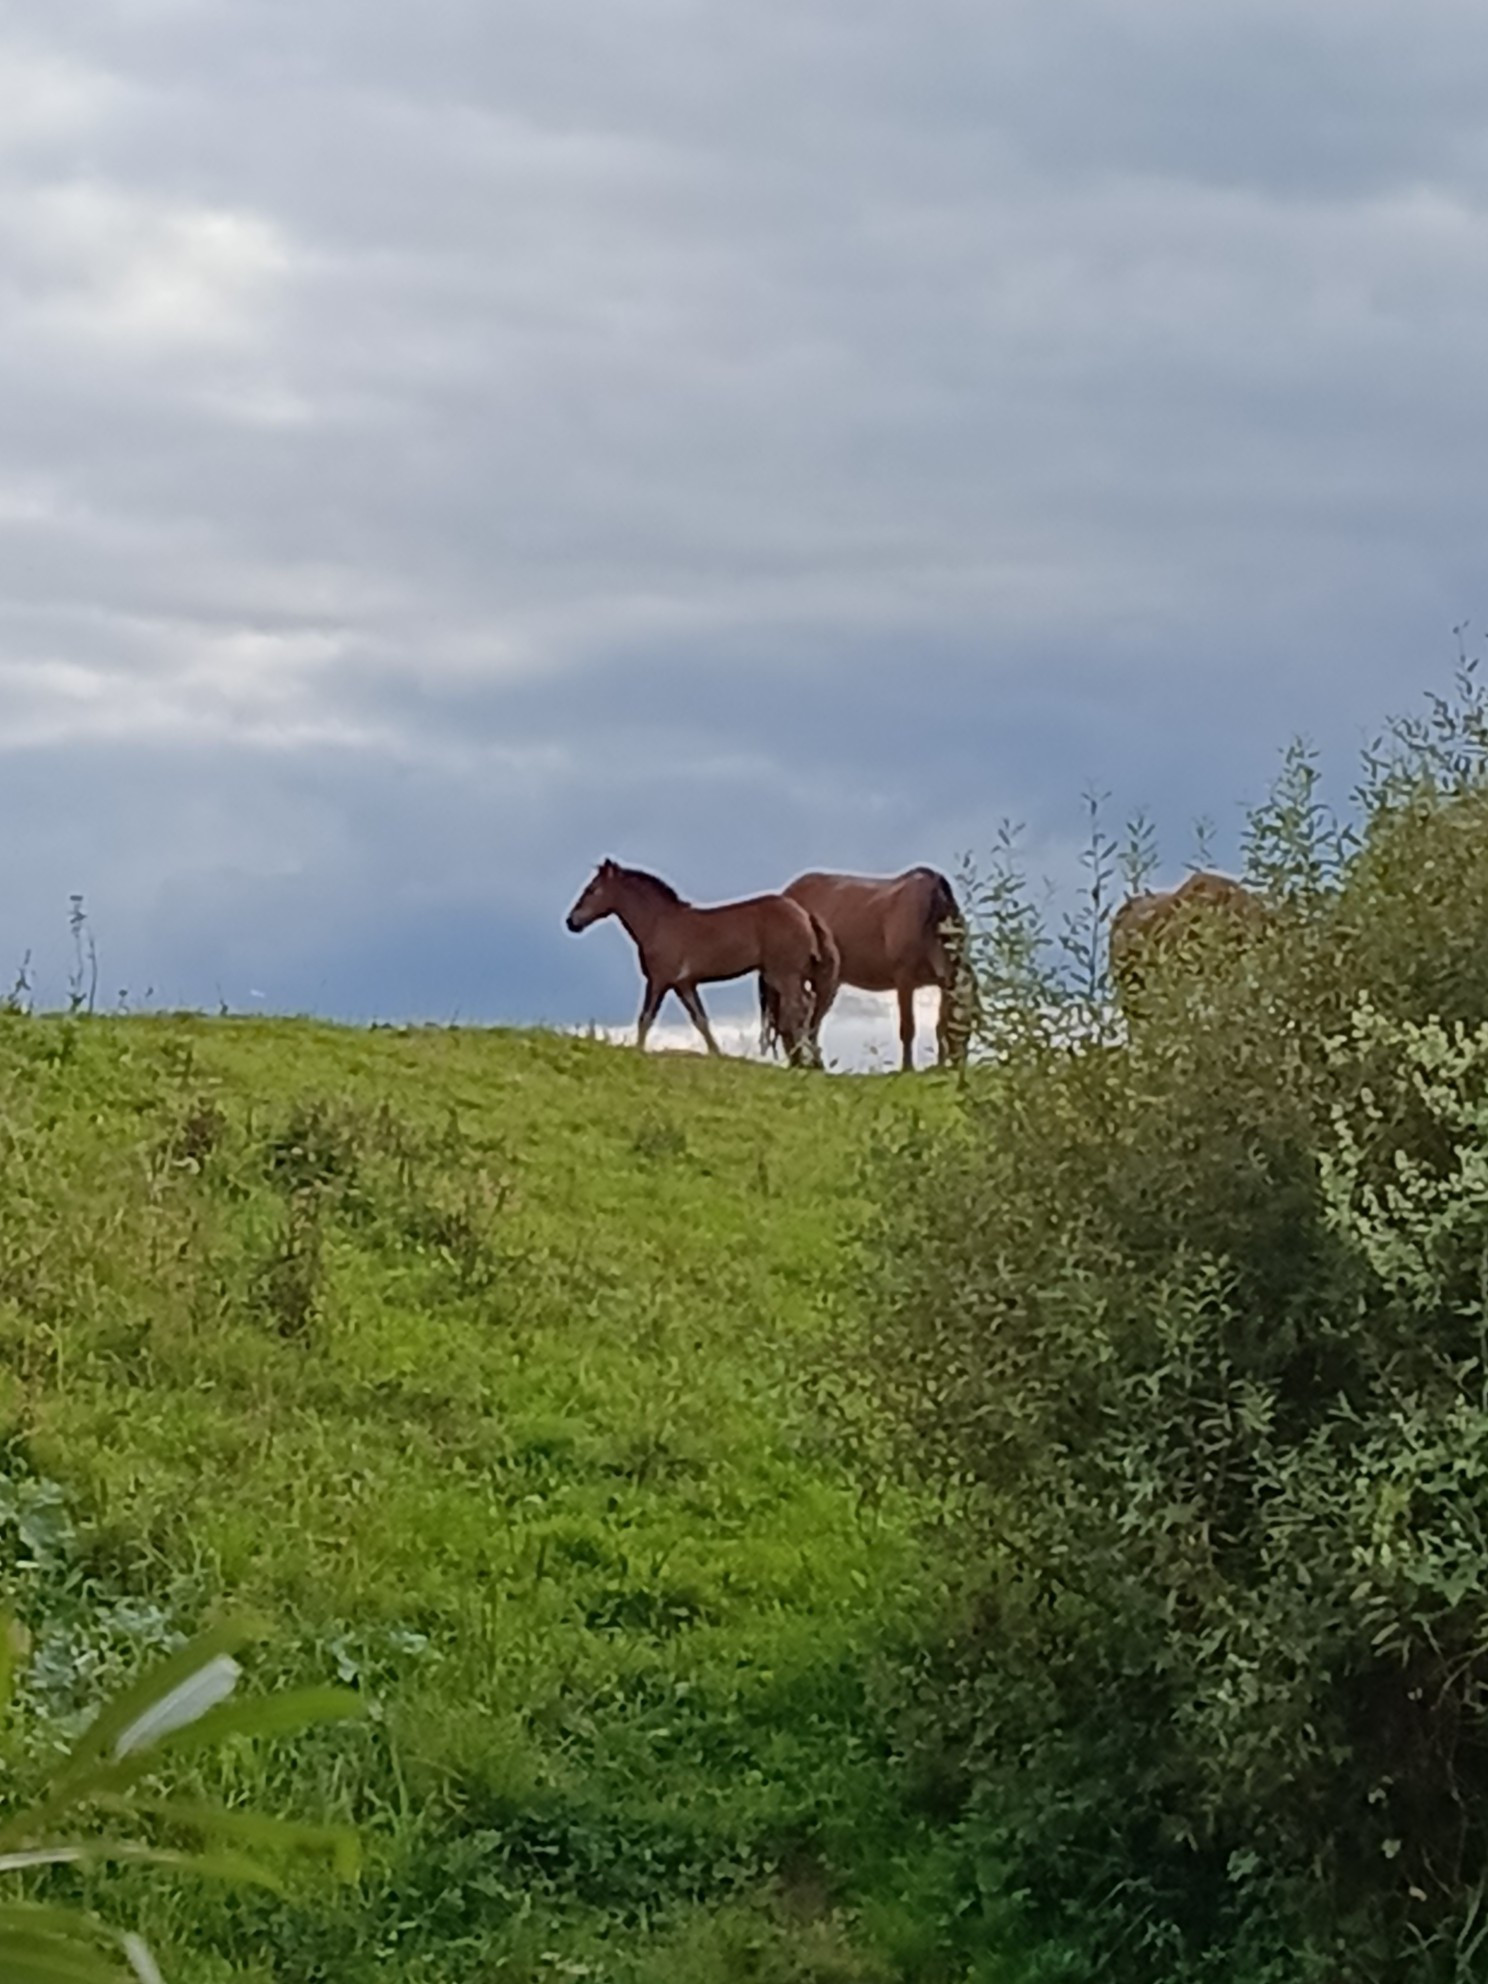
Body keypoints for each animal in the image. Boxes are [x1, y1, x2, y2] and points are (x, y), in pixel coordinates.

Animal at [565, 860, 838, 1068]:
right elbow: (700, 1020)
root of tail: (804, 914)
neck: (658, 923)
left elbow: (646, 1018)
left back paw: (803, 1060)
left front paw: (638, 1051)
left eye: (592, 889)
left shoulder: (658, 981)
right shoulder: (684, 984)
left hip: (784, 975)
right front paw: (717, 1054)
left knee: (799, 1008)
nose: (571, 921)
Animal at [764, 867, 975, 1072]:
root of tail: (786, 894)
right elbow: (908, 1027)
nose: (960, 1065)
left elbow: (940, 1026)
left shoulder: (943, 983)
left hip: (826, 981)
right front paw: (907, 1068)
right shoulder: (905, 980)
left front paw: (938, 1067)